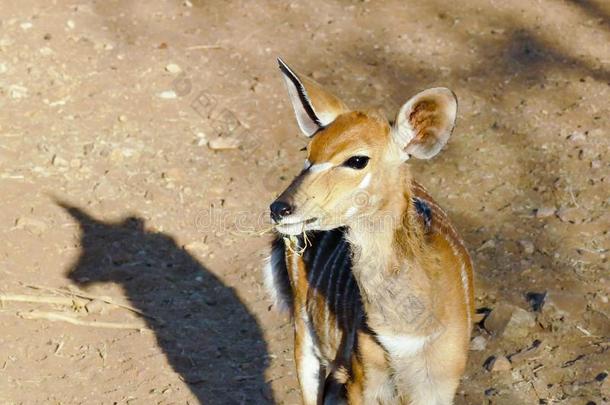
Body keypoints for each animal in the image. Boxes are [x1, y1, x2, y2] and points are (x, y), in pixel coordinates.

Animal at [264, 57, 472, 404]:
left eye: (358, 160)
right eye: (309, 151)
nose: (280, 208)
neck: (406, 335)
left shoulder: (440, 385)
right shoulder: (364, 378)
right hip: (305, 334)